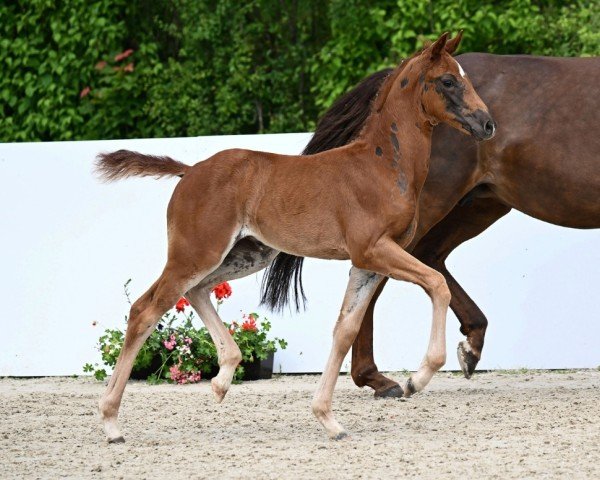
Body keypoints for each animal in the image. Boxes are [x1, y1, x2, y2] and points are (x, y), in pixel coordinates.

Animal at [96, 31, 494, 440]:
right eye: (448, 81)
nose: (487, 125)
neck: (382, 165)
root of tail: (189, 171)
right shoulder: (372, 250)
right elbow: (437, 284)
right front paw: (418, 379)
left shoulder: (368, 263)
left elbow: (345, 330)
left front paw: (328, 418)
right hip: (196, 252)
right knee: (146, 309)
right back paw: (111, 422)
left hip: (247, 254)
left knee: (196, 291)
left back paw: (222, 379)